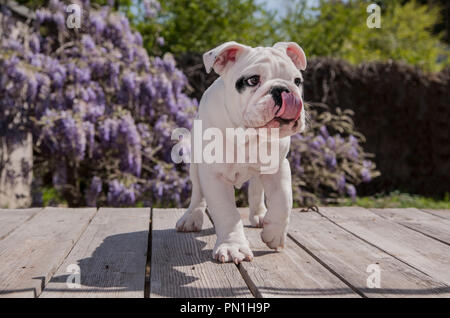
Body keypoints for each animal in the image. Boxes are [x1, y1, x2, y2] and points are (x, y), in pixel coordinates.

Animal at [175, 40, 306, 264]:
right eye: (253, 80)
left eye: (297, 81)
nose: (283, 89)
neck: (247, 135)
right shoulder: (214, 176)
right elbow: (227, 212)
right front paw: (233, 246)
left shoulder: (278, 167)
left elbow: (283, 201)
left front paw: (274, 234)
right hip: (196, 167)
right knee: (198, 194)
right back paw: (191, 217)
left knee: (256, 189)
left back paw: (260, 215)